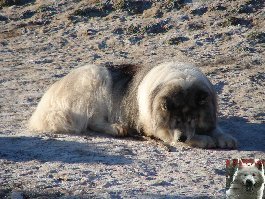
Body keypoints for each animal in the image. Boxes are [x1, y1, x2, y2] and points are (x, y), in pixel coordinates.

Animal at [28, 61, 235, 148]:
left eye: (193, 118)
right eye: (175, 119)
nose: (183, 138)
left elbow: (217, 129)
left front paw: (225, 138)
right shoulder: (156, 128)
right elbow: (172, 135)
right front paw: (202, 140)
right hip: (97, 81)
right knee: (93, 121)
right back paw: (117, 128)